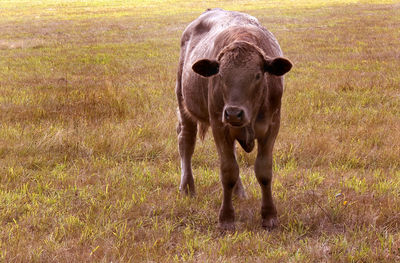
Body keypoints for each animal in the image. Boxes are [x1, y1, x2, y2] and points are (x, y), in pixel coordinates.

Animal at [177, 8, 292, 231]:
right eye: (221, 75)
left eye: (258, 75)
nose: (233, 113)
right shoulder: (219, 126)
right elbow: (228, 171)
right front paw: (227, 218)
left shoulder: (272, 127)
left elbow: (263, 171)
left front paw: (269, 215)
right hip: (184, 105)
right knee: (186, 142)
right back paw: (187, 187)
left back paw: (240, 192)